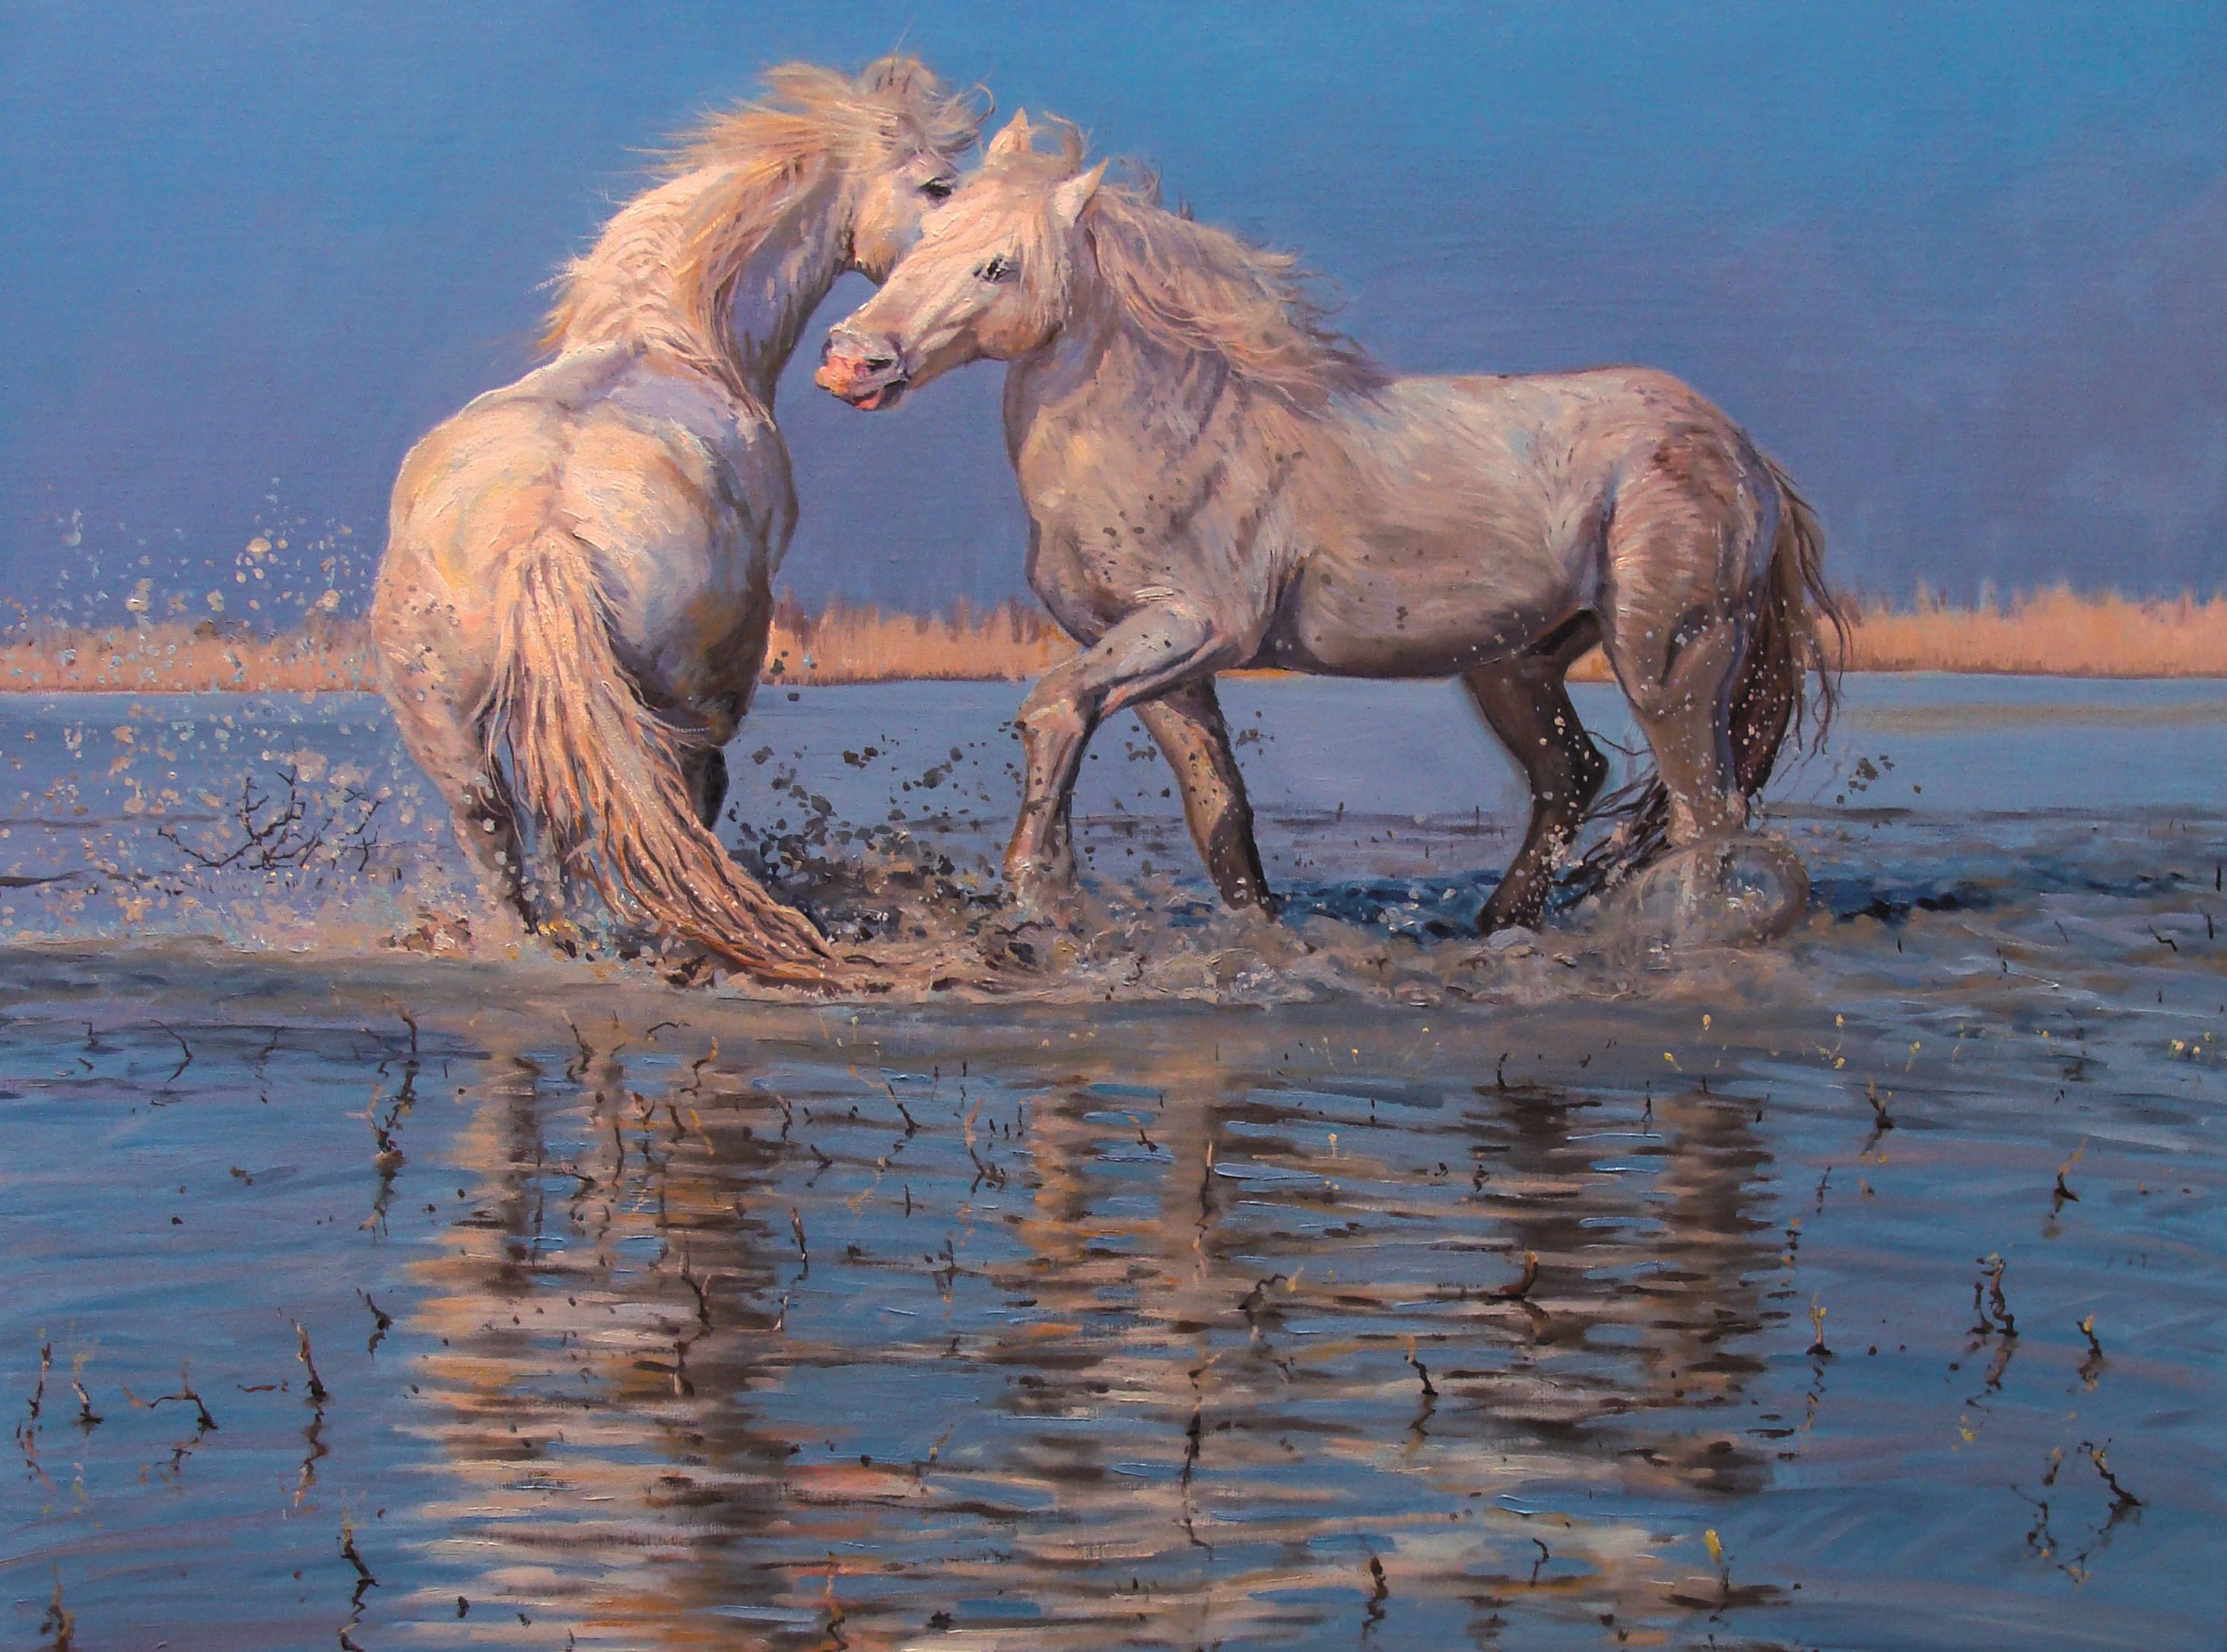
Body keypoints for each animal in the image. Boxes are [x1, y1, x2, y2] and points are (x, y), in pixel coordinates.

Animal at [371, 59, 982, 983]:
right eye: (937, 185)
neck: (670, 335)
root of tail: (546, 532)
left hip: (445, 728)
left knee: (509, 838)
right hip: (685, 713)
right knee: (674, 819)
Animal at [817, 113, 1844, 938]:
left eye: (1000, 265)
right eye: (918, 242)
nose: (852, 361)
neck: (1167, 430)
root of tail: (1743, 452)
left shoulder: (1195, 628)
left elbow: (1050, 707)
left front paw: (1042, 888)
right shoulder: (1162, 667)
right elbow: (1220, 817)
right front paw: (1258, 936)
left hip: (1668, 660)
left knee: (1708, 825)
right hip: (1516, 663)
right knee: (1575, 775)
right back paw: (1495, 925)